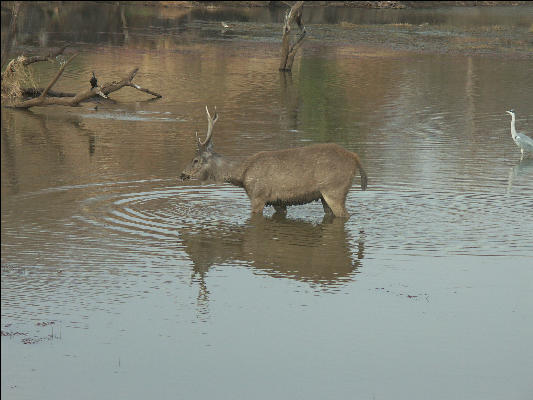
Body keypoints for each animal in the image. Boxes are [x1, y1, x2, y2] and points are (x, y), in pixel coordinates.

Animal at [180, 106, 366, 217]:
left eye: (195, 160)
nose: (182, 174)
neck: (242, 175)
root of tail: (355, 158)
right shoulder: (278, 201)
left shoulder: (258, 195)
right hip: (325, 195)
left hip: (335, 189)